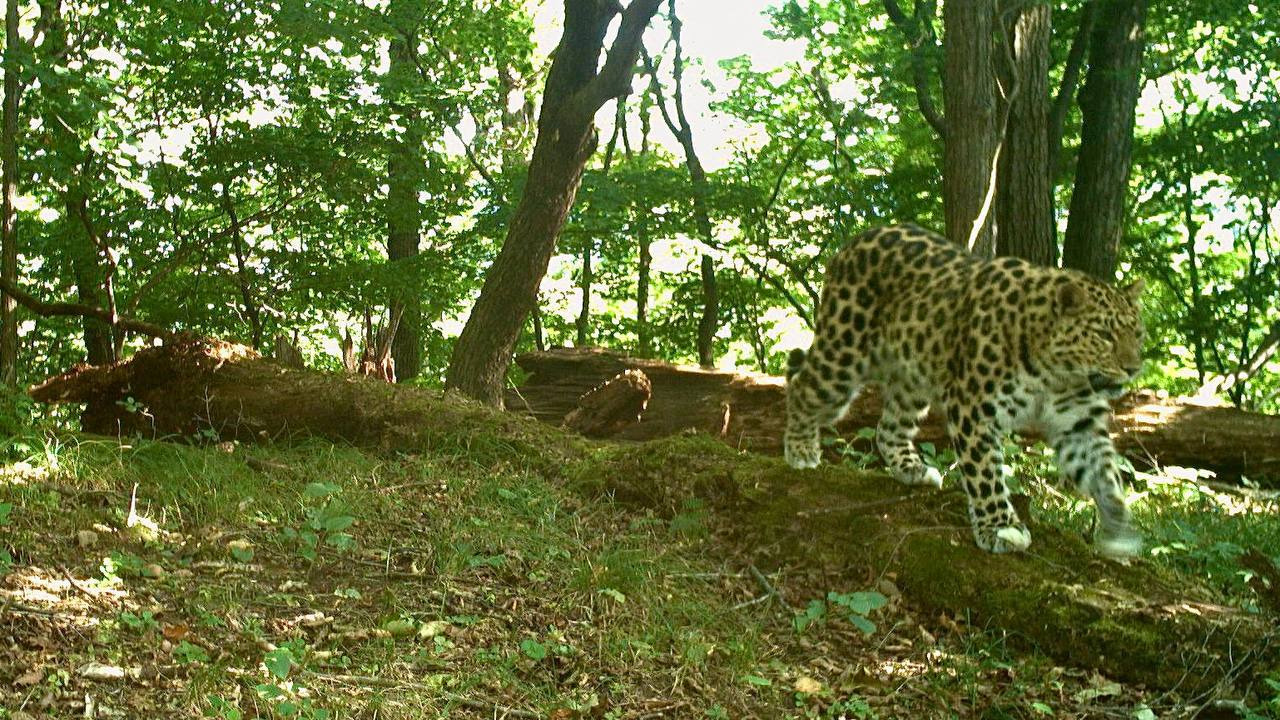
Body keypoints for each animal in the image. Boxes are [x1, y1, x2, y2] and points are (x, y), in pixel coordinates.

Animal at [783, 224, 1146, 556]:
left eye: (1138, 334)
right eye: (1103, 335)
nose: (1133, 368)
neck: (1057, 373)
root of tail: (854, 241)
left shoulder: (1078, 422)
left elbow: (1104, 472)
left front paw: (1117, 529)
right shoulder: (974, 408)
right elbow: (985, 472)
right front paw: (1000, 527)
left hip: (914, 376)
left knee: (888, 428)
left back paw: (913, 469)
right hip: (844, 356)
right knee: (803, 387)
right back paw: (800, 451)